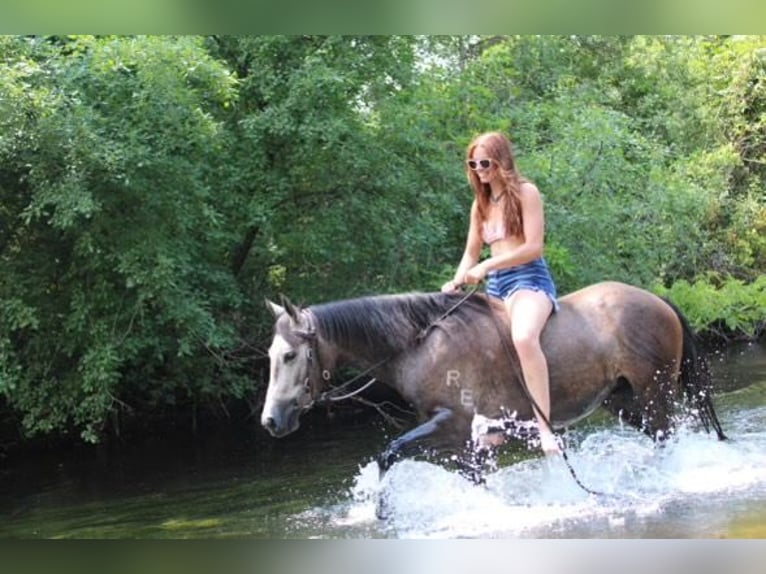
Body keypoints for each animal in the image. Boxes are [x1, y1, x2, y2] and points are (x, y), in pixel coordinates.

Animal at [260, 281, 726, 480]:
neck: (418, 344)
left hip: (654, 392)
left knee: (668, 436)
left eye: (289, 355)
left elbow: (389, 454)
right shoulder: (461, 437)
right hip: (624, 400)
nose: (270, 421)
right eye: (269, 356)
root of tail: (658, 299)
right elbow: (471, 475)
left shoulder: (451, 422)